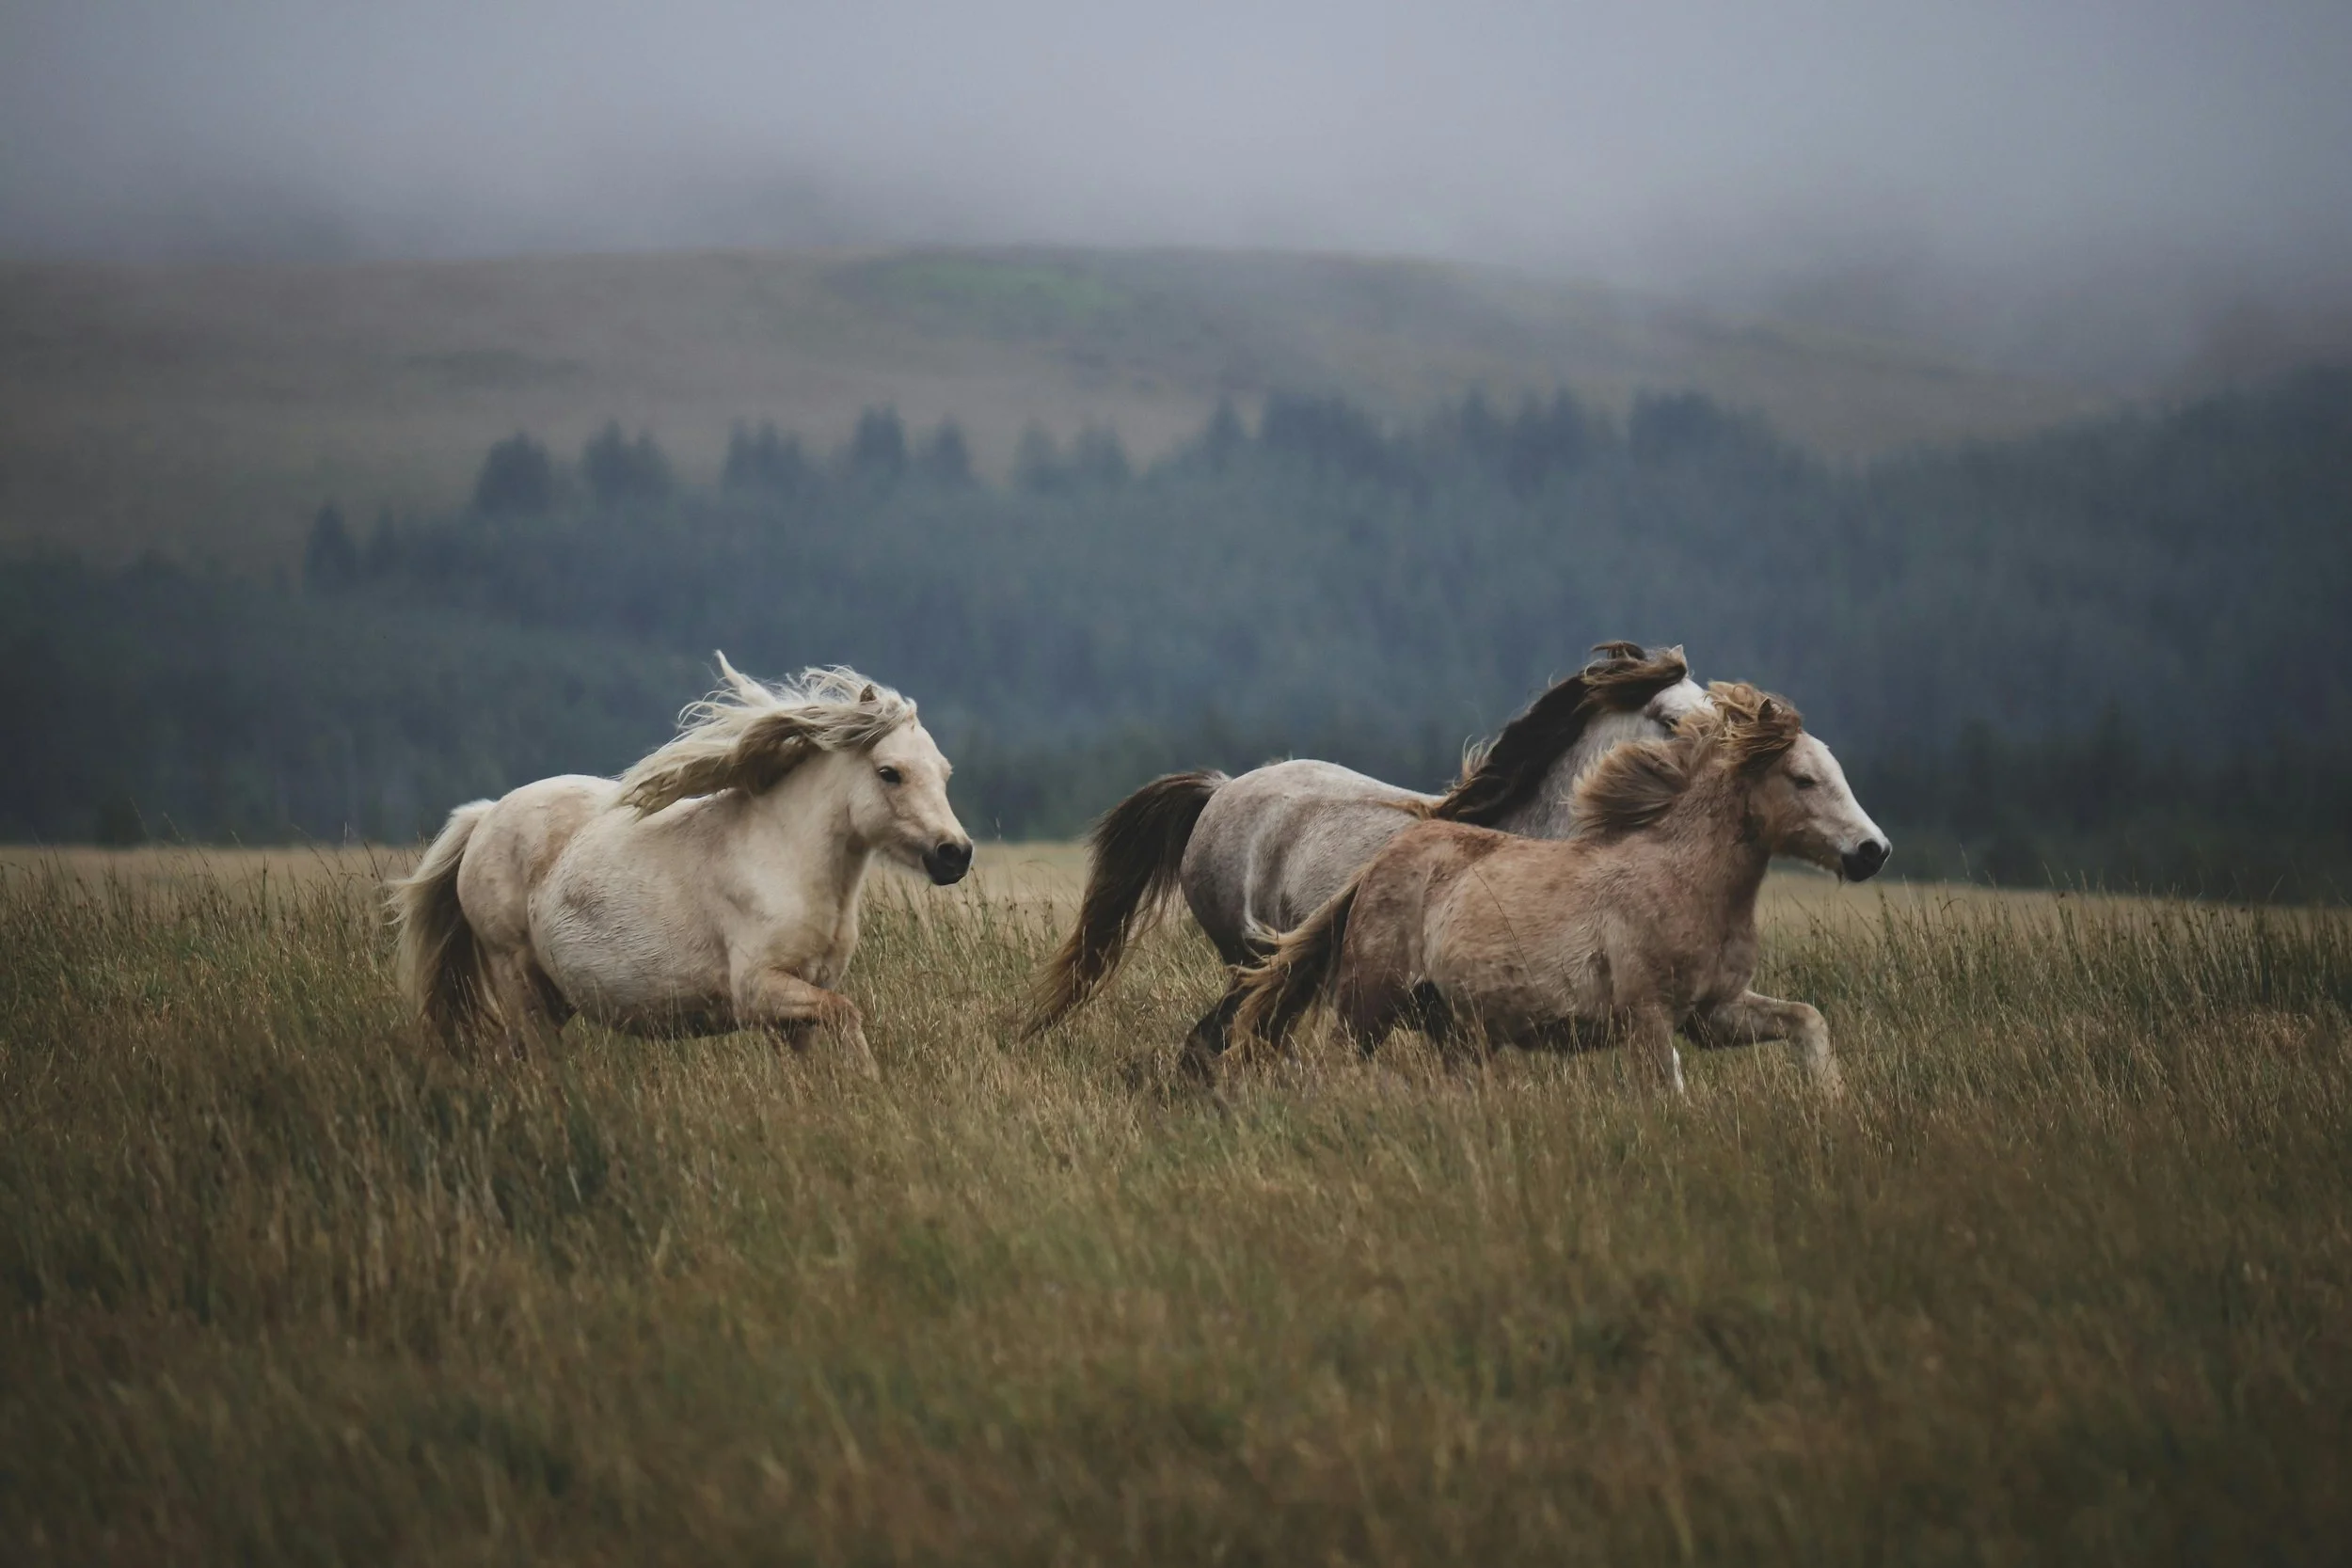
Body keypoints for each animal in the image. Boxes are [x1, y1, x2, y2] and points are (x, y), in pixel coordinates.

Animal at [388, 659, 973, 1067]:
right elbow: (849, 1016)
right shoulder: (759, 991)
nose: (955, 854)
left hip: (552, 998)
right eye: (889, 772)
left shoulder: (796, 1007)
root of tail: (485, 816)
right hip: (518, 978)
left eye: (945, 773)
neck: (787, 860)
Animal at [1230, 682, 1889, 1093]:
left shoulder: (1713, 1014)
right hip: (1368, 1003)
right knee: (1333, 1064)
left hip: (1458, 1029)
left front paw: (1832, 1103)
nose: (1872, 851)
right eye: (1802, 779)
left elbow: (1808, 1021)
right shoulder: (1649, 1016)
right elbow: (1667, 1093)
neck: (1683, 879)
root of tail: (1377, 865)